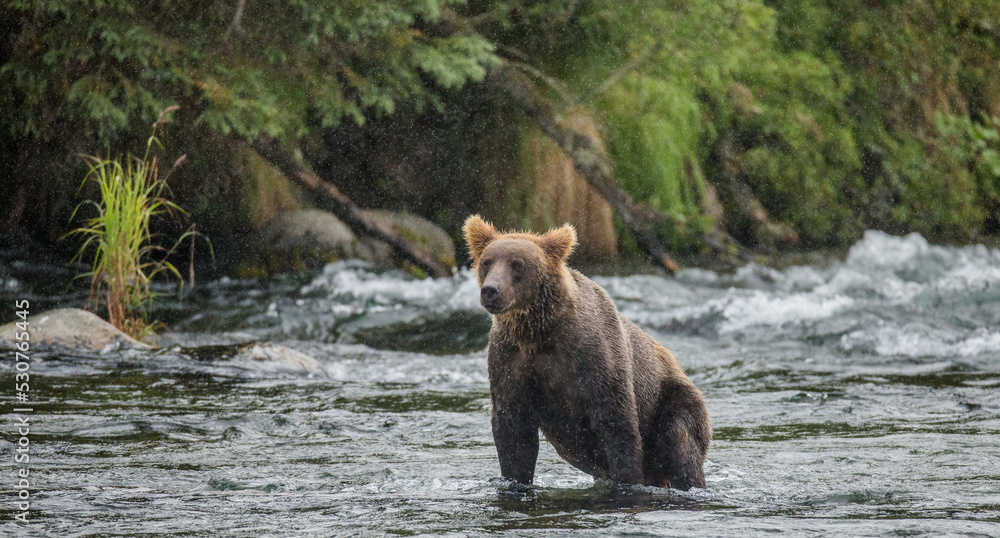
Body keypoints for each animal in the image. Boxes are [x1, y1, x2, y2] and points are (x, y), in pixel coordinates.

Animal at [463, 215, 710, 490]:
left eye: (518, 264)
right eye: (487, 261)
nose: (491, 290)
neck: (538, 334)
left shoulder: (595, 359)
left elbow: (617, 425)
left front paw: (628, 480)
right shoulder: (510, 360)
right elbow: (513, 432)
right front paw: (514, 478)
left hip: (674, 401)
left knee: (679, 442)